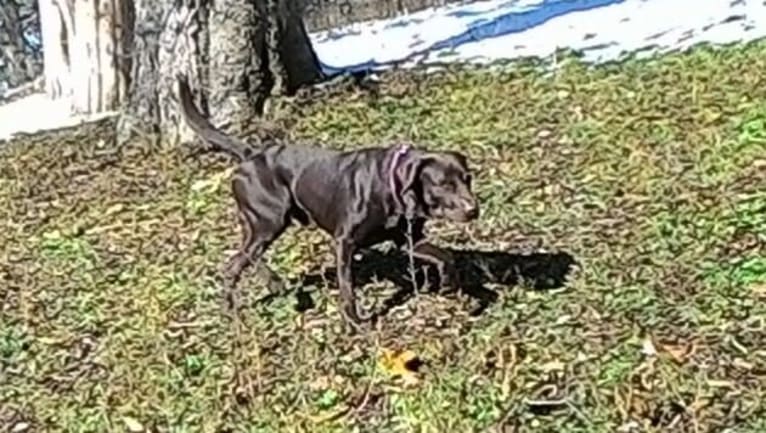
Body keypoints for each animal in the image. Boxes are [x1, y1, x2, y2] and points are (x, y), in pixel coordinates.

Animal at [179, 74, 480, 326]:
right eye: (444, 184)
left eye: (468, 179)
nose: (473, 209)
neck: (393, 185)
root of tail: (251, 153)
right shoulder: (344, 242)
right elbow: (347, 287)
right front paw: (354, 322)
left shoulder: (408, 240)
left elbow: (445, 257)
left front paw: (450, 284)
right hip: (269, 220)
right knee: (236, 263)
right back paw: (232, 312)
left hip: (262, 223)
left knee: (247, 255)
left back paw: (273, 284)